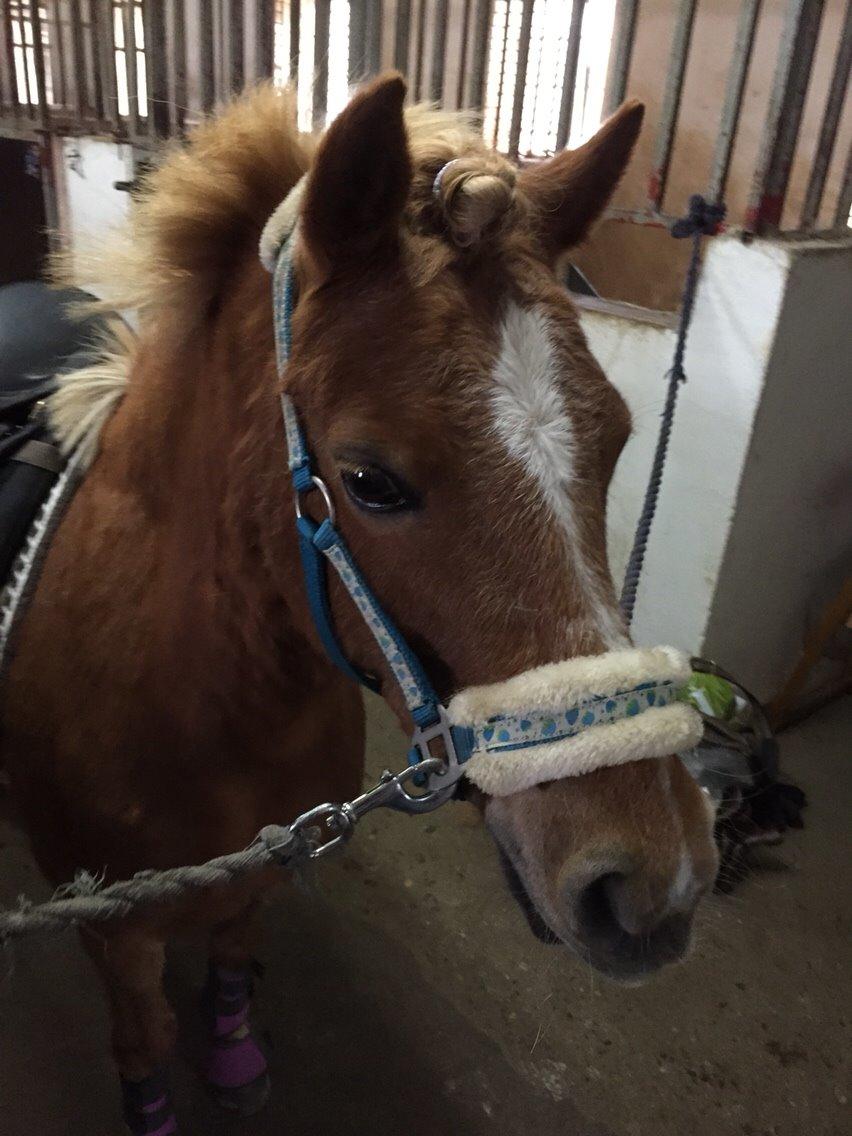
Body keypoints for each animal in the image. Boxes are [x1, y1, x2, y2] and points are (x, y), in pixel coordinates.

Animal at [0, 74, 718, 1133]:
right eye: (370, 480)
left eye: (620, 437)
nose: (651, 880)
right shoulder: (113, 935)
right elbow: (144, 1041)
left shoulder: (262, 866)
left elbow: (231, 956)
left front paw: (233, 1051)